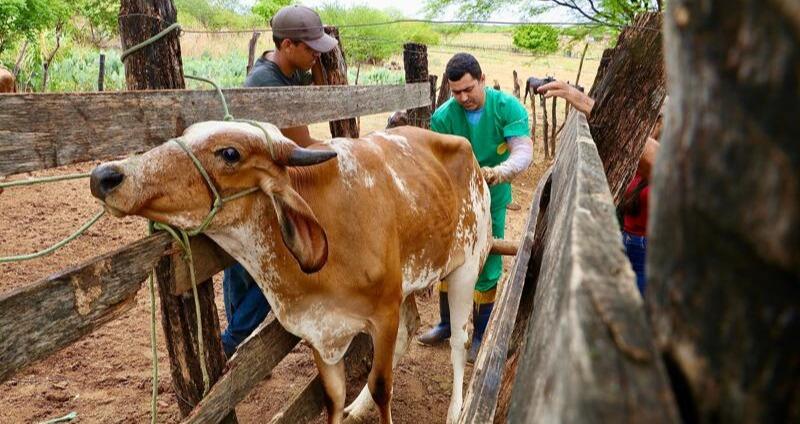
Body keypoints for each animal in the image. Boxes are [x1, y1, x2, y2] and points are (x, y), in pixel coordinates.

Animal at [89, 121, 492, 423]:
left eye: (230, 153)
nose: (106, 175)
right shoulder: (316, 329)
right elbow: (332, 396)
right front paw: (346, 405)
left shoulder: (384, 313)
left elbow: (383, 387)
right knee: (412, 328)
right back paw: (358, 406)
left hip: (466, 266)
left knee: (459, 339)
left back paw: (457, 410)